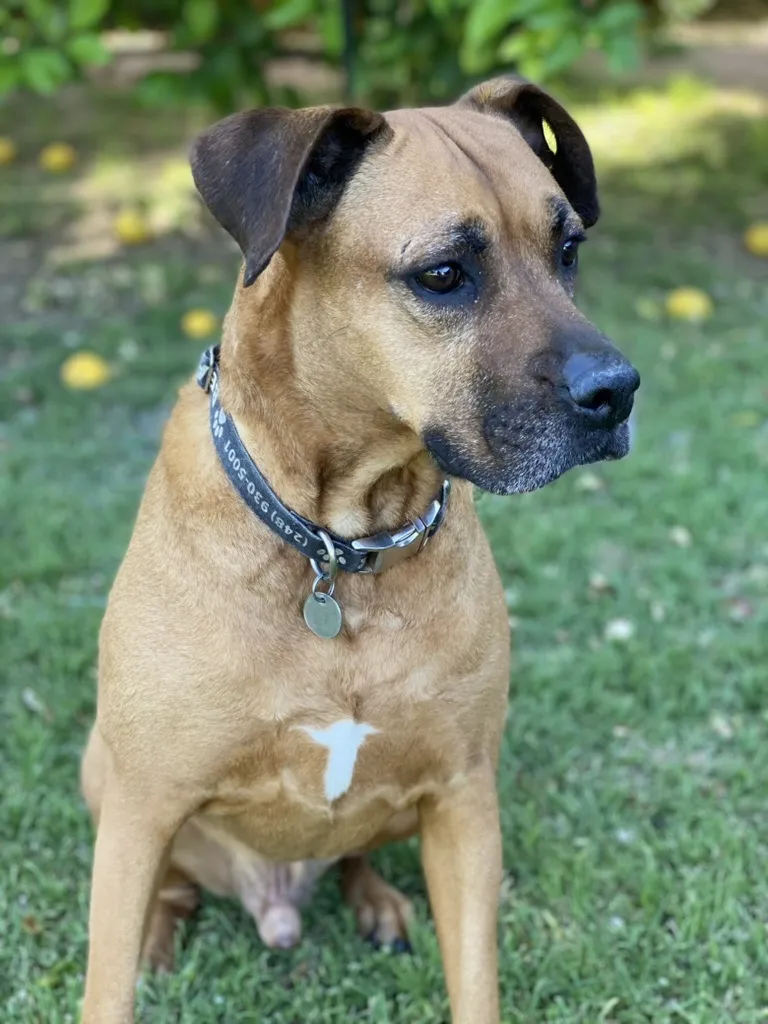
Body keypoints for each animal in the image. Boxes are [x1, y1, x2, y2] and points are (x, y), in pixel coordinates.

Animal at [81, 75, 638, 1019]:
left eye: (569, 249)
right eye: (443, 275)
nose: (619, 391)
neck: (339, 548)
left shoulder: (464, 800)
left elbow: (475, 979)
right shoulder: (140, 803)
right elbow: (106, 983)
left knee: (356, 850)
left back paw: (376, 900)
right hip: (104, 775)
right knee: (175, 883)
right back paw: (165, 930)